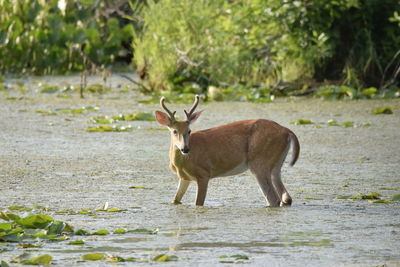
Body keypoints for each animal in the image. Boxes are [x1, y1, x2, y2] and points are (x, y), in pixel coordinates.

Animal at [155, 94, 298, 207]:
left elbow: (198, 203)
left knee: (273, 199)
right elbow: (175, 200)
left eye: (189, 131)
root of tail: (287, 131)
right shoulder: (184, 177)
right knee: (286, 198)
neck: (182, 164)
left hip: (259, 163)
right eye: (174, 131)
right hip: (275, 165)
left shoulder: (204, 173)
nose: (185, 148)